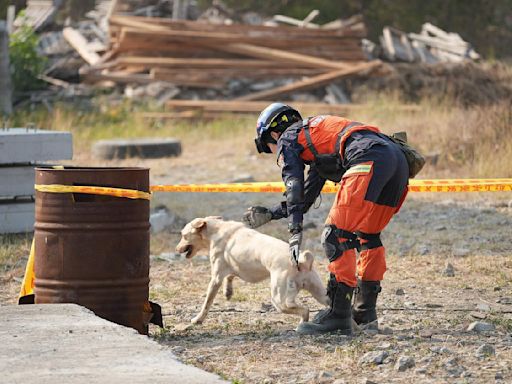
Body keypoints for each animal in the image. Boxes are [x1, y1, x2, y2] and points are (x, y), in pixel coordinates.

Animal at [175, 216, 328, 324]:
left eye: (183, 235)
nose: (176, 249)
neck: (216, 230)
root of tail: (302, 262)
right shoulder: (235, 268)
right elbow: (230, 276)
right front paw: (228, 292)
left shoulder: (216, 278)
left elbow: (207, 303)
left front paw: (197, 319)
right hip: (320, 293)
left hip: (279, 300)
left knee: (304, 309)